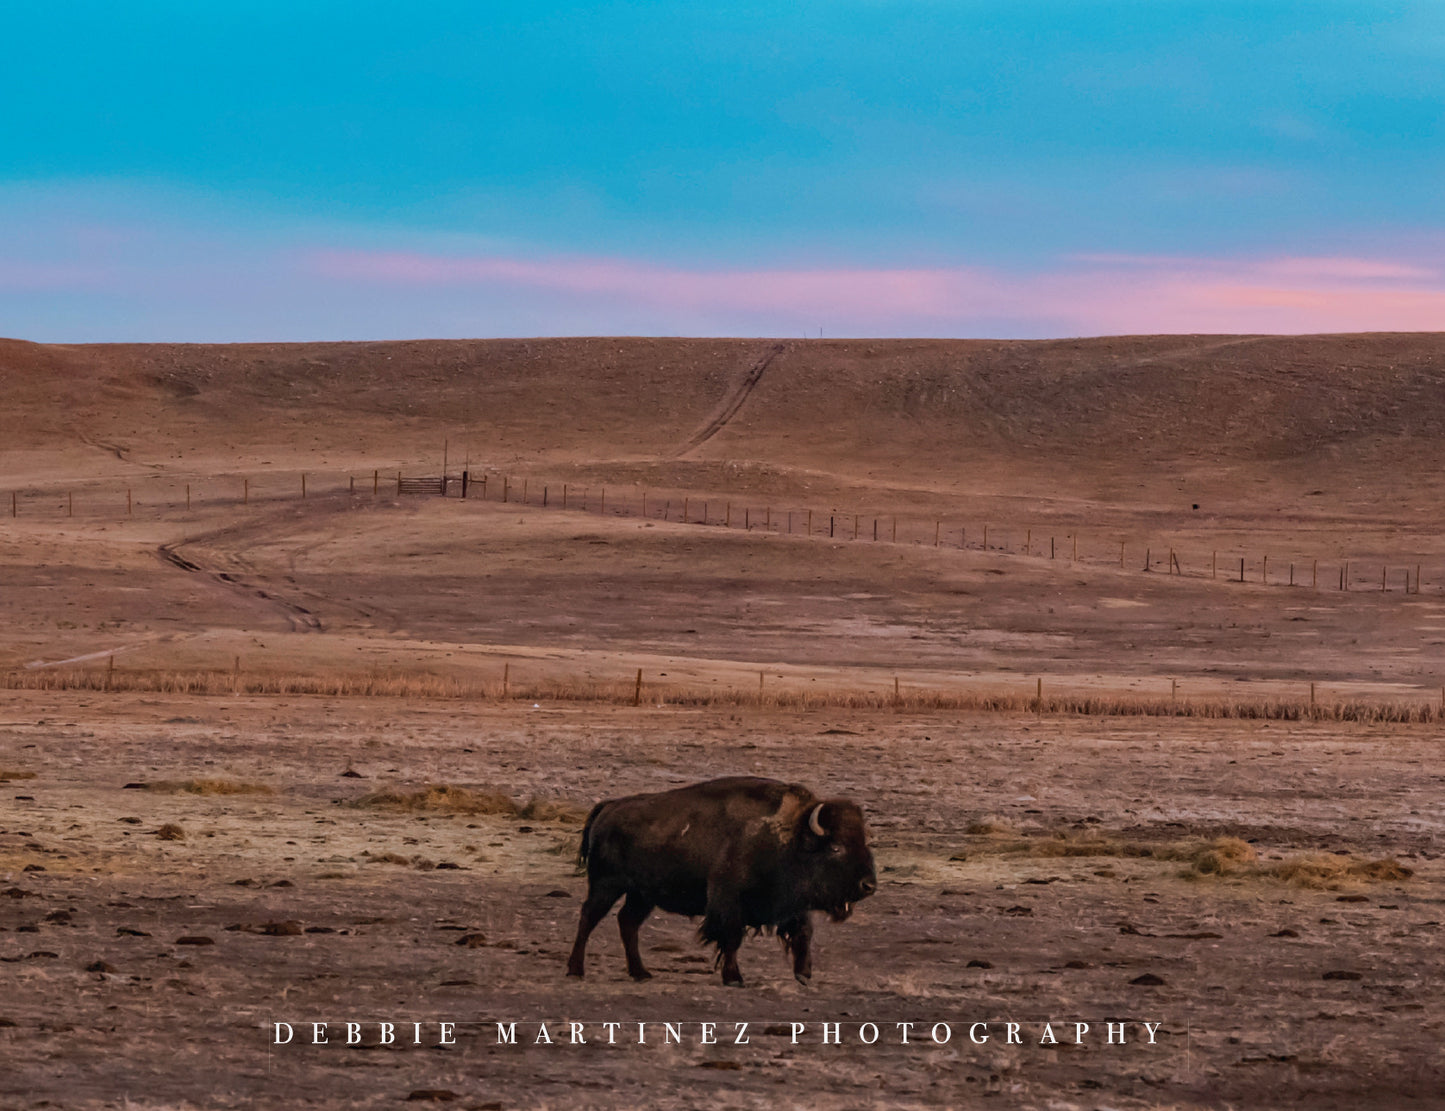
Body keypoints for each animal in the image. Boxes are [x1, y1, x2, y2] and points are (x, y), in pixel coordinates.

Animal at [565, 776, 877, 986]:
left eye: (863, 842)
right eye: (836, 847)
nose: (868, 886)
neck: (792, 837)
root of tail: (608, 807)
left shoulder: (793, 905)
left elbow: (803, 933)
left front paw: (803, 974)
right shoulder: (729, 901)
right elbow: (731, 937)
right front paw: (734, 977)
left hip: (641, 895)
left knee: (627, 922)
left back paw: (641, 973)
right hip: (607, 886)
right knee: (589, 917)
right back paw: (576, 970)